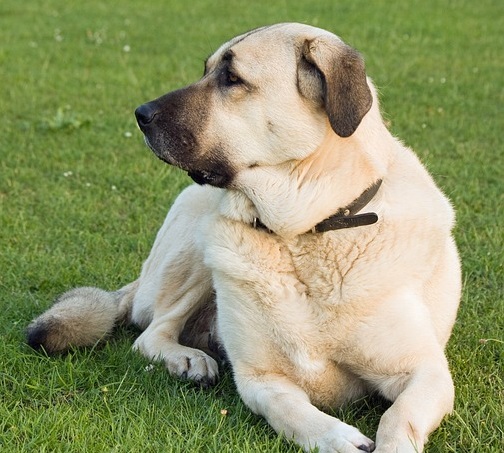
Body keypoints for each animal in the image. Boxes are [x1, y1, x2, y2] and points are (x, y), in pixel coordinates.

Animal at [26, 23, 460, 450]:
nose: (140, 114)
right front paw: (337, 438)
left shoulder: (425, 372)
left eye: (232, 78)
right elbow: (292, 412)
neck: (303, 233)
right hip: (196, 252)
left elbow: (396, 419)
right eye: (206, 70)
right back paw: (187, 359)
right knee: (151, 332)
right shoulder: (259, 379)